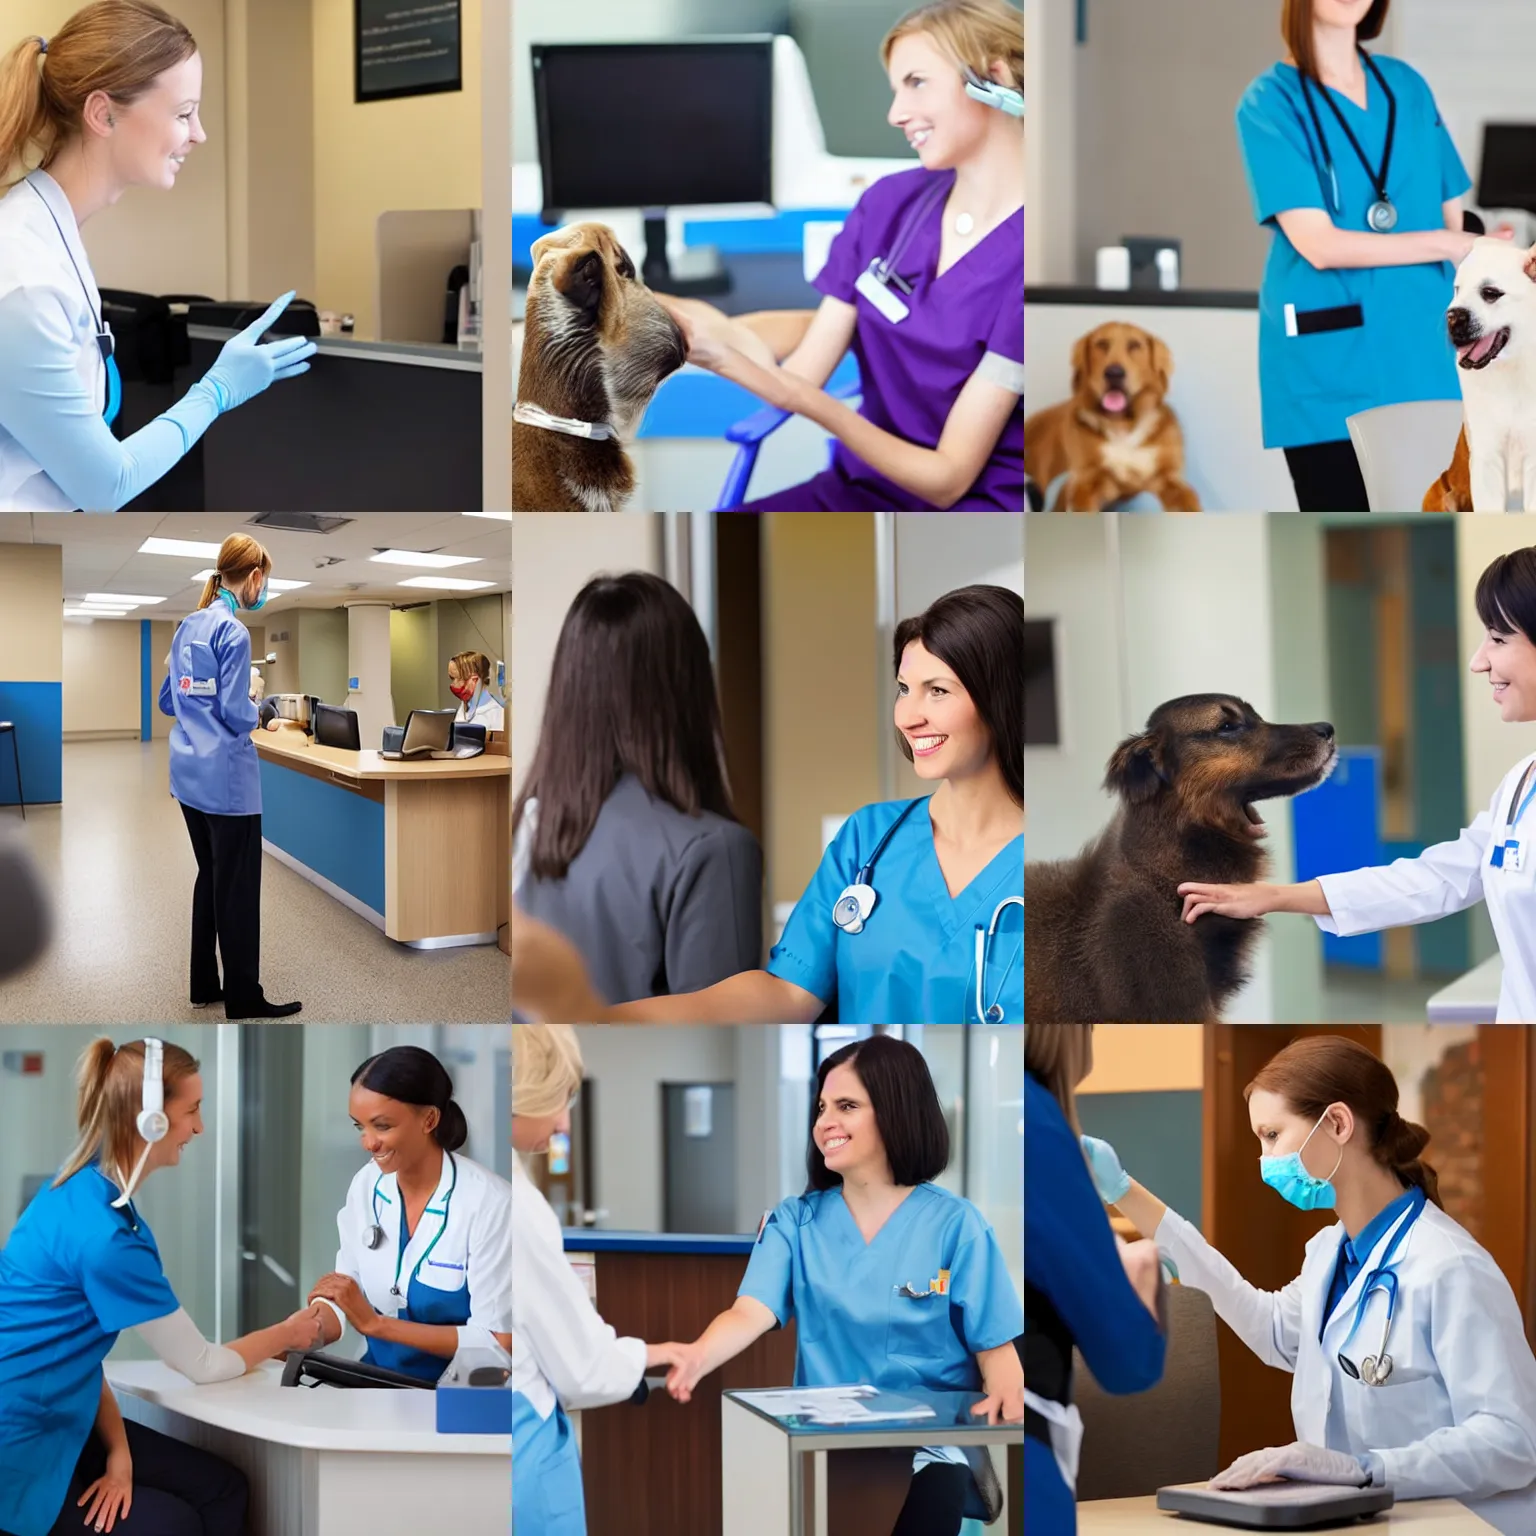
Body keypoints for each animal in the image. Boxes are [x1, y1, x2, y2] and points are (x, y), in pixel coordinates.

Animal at [1026, 324, 1204, 516]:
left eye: (1134, 345)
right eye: (1102, 344)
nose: (1114, 373)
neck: (1122, 424)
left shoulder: (1167, 478)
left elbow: (1189, 502)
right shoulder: (1086, 482)